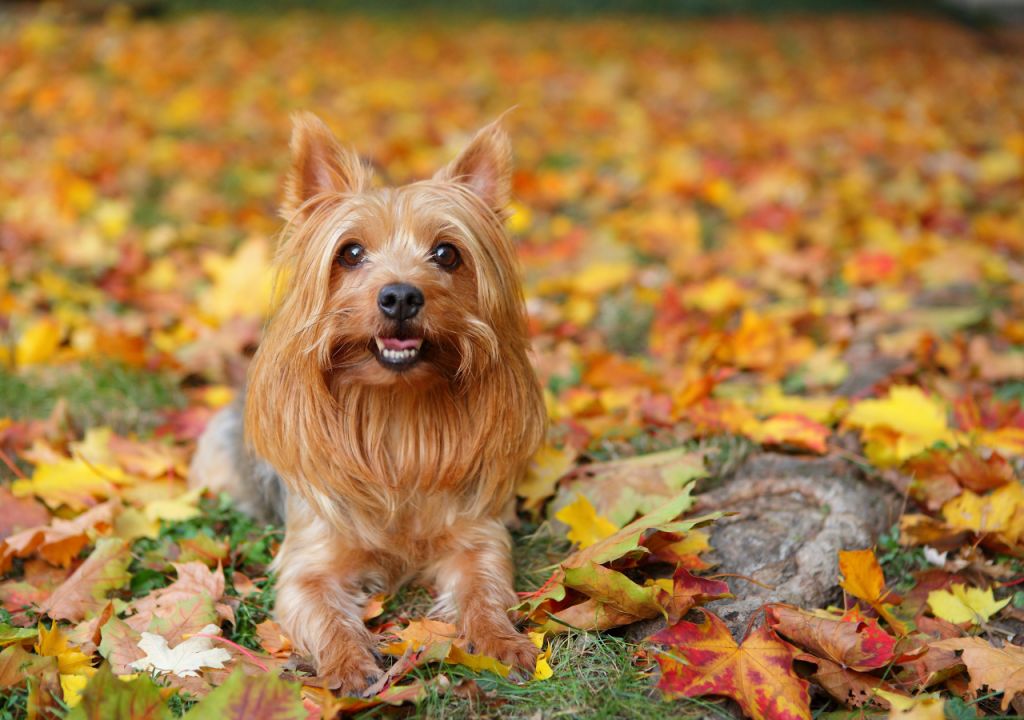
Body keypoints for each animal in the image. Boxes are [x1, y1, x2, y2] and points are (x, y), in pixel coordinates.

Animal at [188, 112, 548, 692]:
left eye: (447, 253)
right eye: (351, 252)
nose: (400, 295)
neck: (394, 412)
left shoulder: (476, 538)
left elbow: (484, 589)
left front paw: (502, 641)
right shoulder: (309, 562)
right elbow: (323, 612)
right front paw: (349, 664)